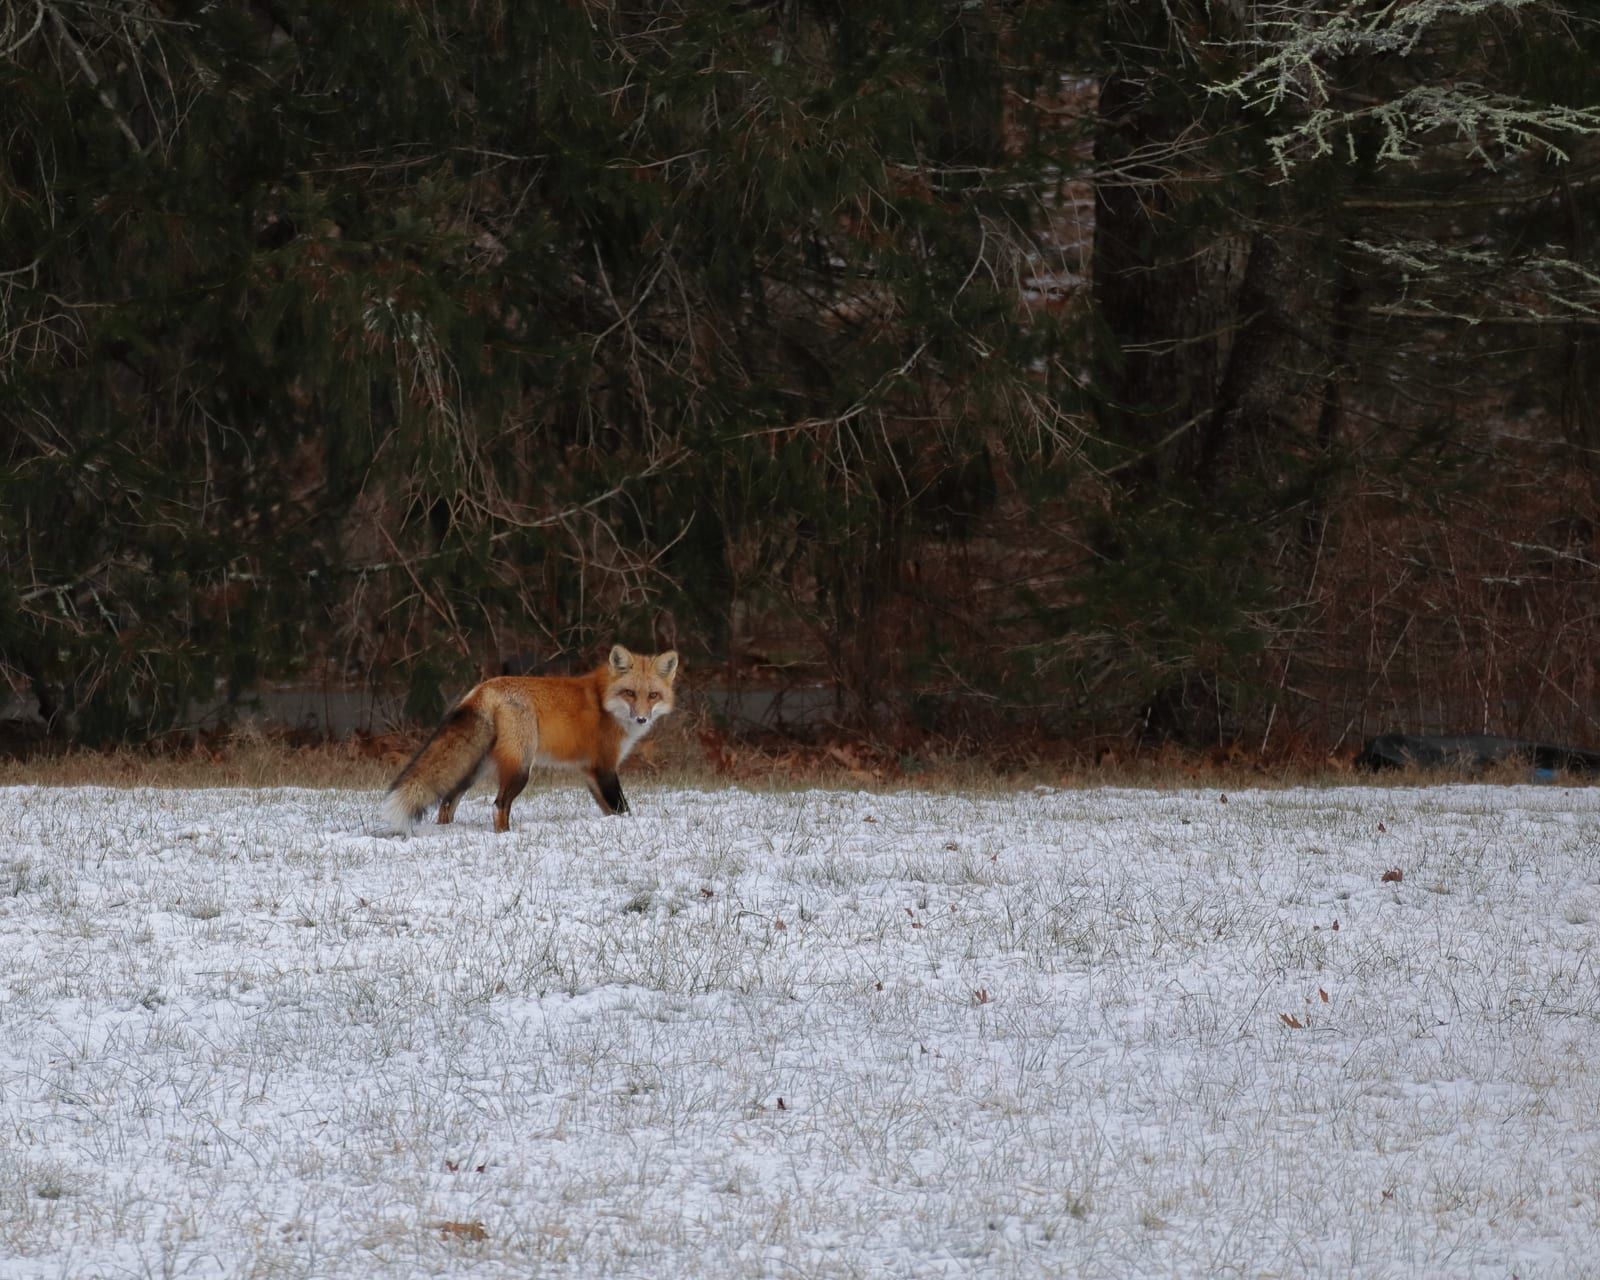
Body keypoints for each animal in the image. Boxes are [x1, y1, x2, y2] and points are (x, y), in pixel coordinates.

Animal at [382, 645, 679, 834]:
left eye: (653, 695)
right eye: (630, 693)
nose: (641, 719)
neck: (604, 702)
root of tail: (483, 688)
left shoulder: (589, 772)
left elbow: (609, 809)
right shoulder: (604, 767)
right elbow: (622, 808)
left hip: (475, 769)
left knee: (448, 799)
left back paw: (447, 830)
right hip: (521, 768)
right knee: (499, 805)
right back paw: (506, 835)